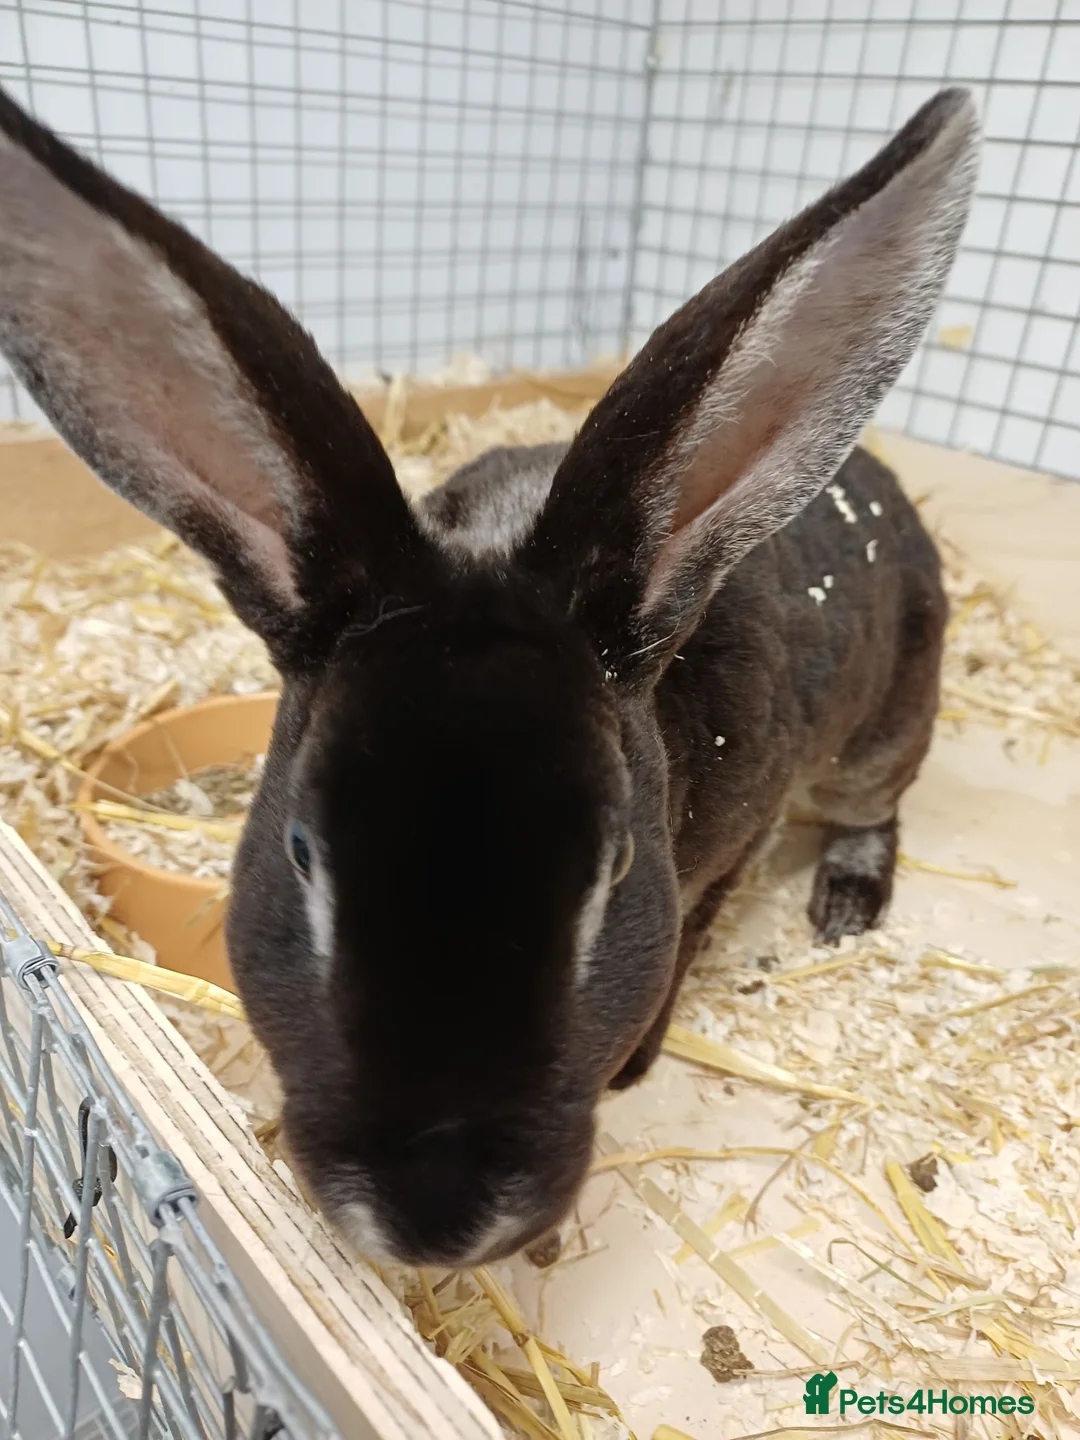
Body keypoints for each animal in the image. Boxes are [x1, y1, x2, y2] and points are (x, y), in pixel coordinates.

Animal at [0, 85, 978, 1267]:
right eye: (301, 851)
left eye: (614, 867)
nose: (434, 1219)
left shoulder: (727, 852)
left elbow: (692, 932)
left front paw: (641, 1059)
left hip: (882, 731)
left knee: (877, 805)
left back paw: (845, 907)